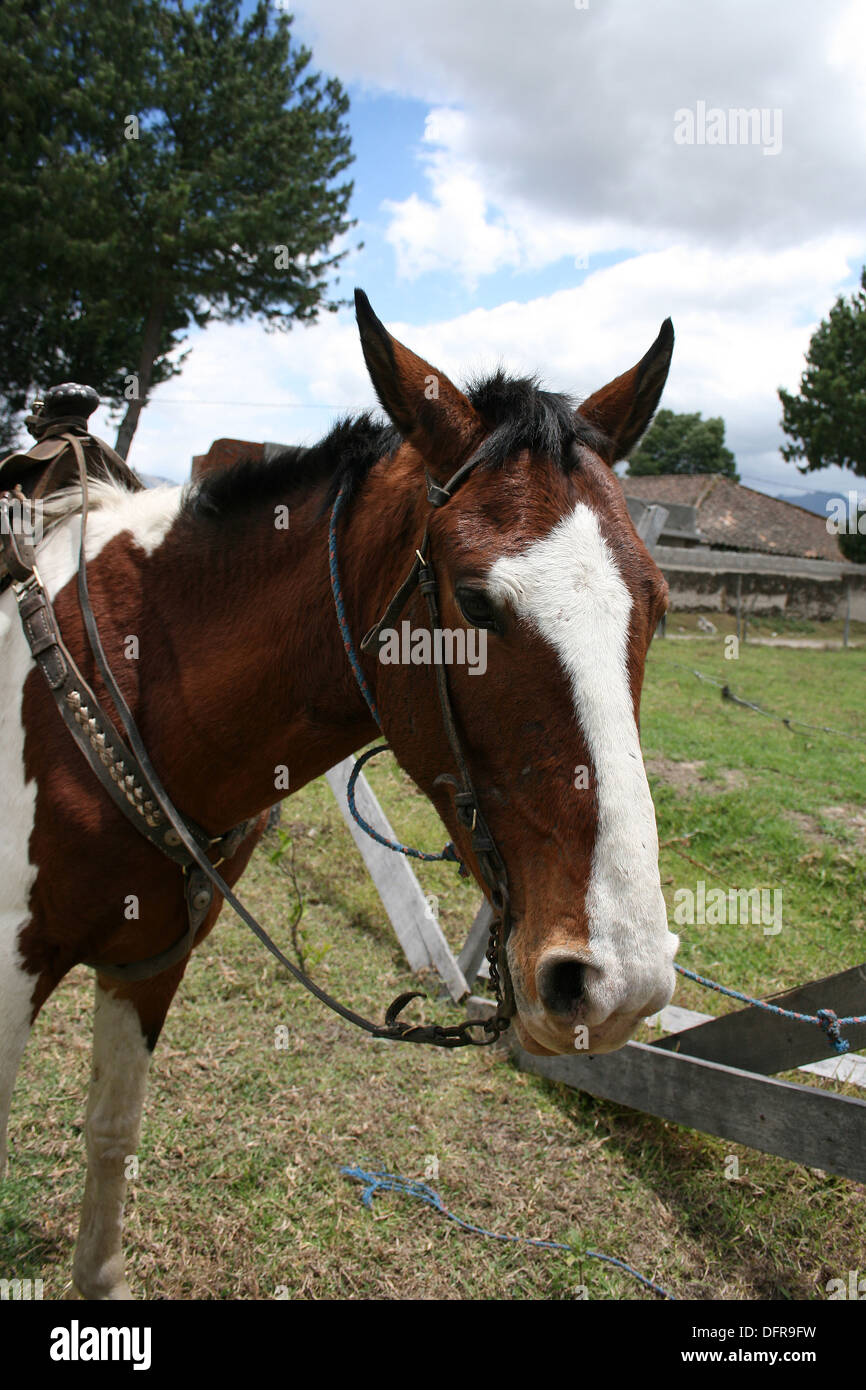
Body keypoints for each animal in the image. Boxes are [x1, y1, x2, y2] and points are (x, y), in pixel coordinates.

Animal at [0, 287, 678, 1295]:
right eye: (476, 601)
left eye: (658, 605)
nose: (621, 982)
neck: (121, 673)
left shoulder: (150, 961)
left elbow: (112, 1132)